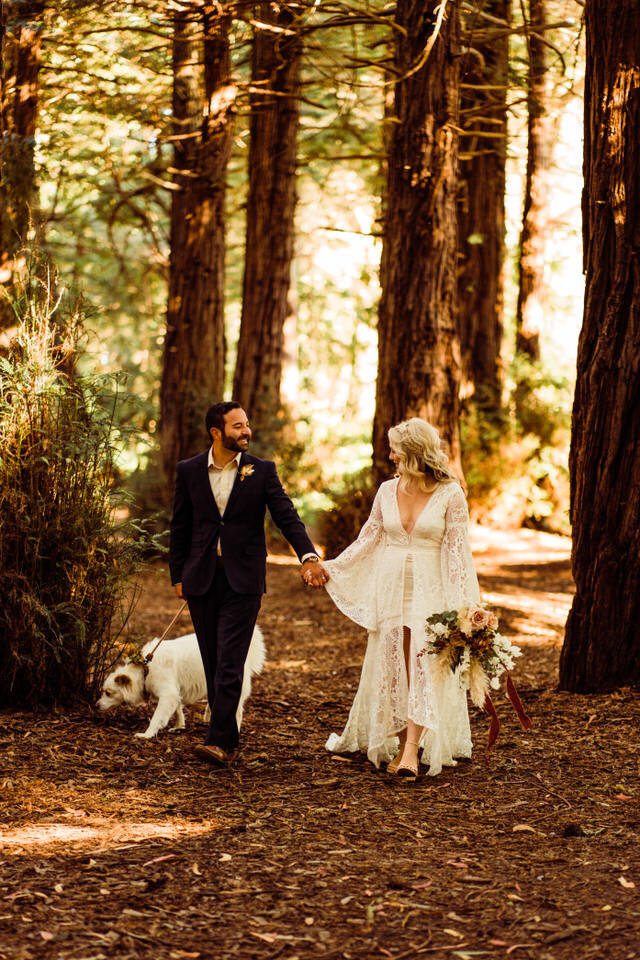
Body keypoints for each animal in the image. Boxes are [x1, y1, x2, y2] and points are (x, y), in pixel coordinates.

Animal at [95, 628, 264, 740]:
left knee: (238, 711)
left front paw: (147, 735)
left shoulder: (168, 693)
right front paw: (179, 727)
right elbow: (177, 710)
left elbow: (157, 717)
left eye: (108, 693)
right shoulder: (174, 692)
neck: (145, 669)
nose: (96, 706)